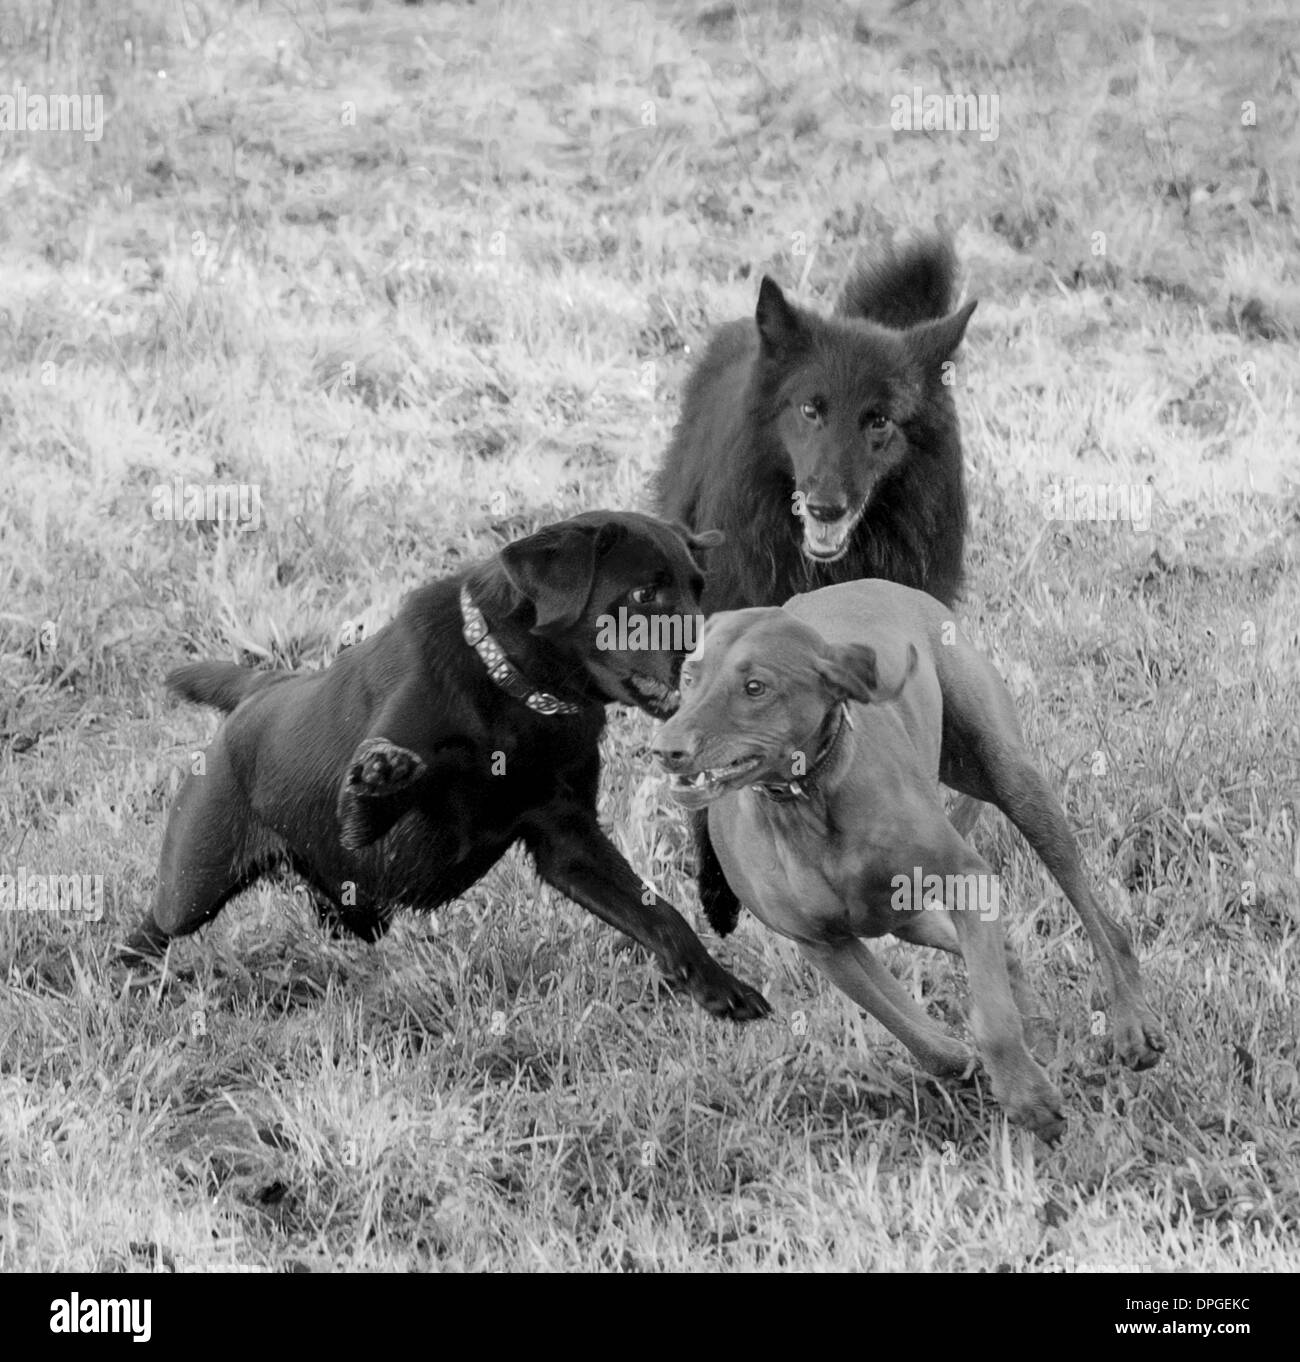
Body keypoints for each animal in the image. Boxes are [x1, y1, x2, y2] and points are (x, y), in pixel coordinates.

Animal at [119, 512, 768, 1024]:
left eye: (697, 588)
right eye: (643, 594)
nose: (721, 655)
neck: (515, 690)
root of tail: (259, 692)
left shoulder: (569, 841)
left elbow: (659, 915)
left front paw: (720, 987)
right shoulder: (378, 821)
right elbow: (389, 795)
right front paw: (385, 776)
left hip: (351, 908)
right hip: (192, 885)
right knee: (150, 928)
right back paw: (129, 976)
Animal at [654, 580, 1161, 1144]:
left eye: (756, 687)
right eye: (689, 677)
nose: (664, 749)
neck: (809, 800)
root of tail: (873, 583)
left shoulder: (967, 879)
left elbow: (991, 1018)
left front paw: (1025, 1096)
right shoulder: (824, 946)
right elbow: (904, 1023)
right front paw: (969, 1065)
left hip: (1012, 782)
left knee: (1099, 921)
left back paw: (1131, 1024)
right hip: (906, 914)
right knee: (999, 948)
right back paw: (1038, 1031)